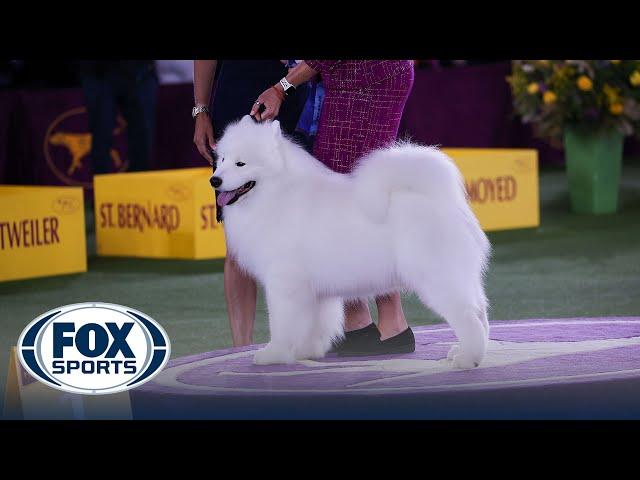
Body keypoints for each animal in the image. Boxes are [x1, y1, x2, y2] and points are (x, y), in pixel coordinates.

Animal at [211, 116, 490, 368]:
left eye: (241, 163)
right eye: (222, 160)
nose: (214, 180)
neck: (278, 193)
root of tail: (444, 201)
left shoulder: (284, 283)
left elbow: (282, 323)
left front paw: (274, 354)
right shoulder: (314, 290)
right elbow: (314, 324)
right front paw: (306, 351)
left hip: (437, 277)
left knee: (468, 318)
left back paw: (467, 359)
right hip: (461, 277)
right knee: (480, 311)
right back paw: (465, 351)